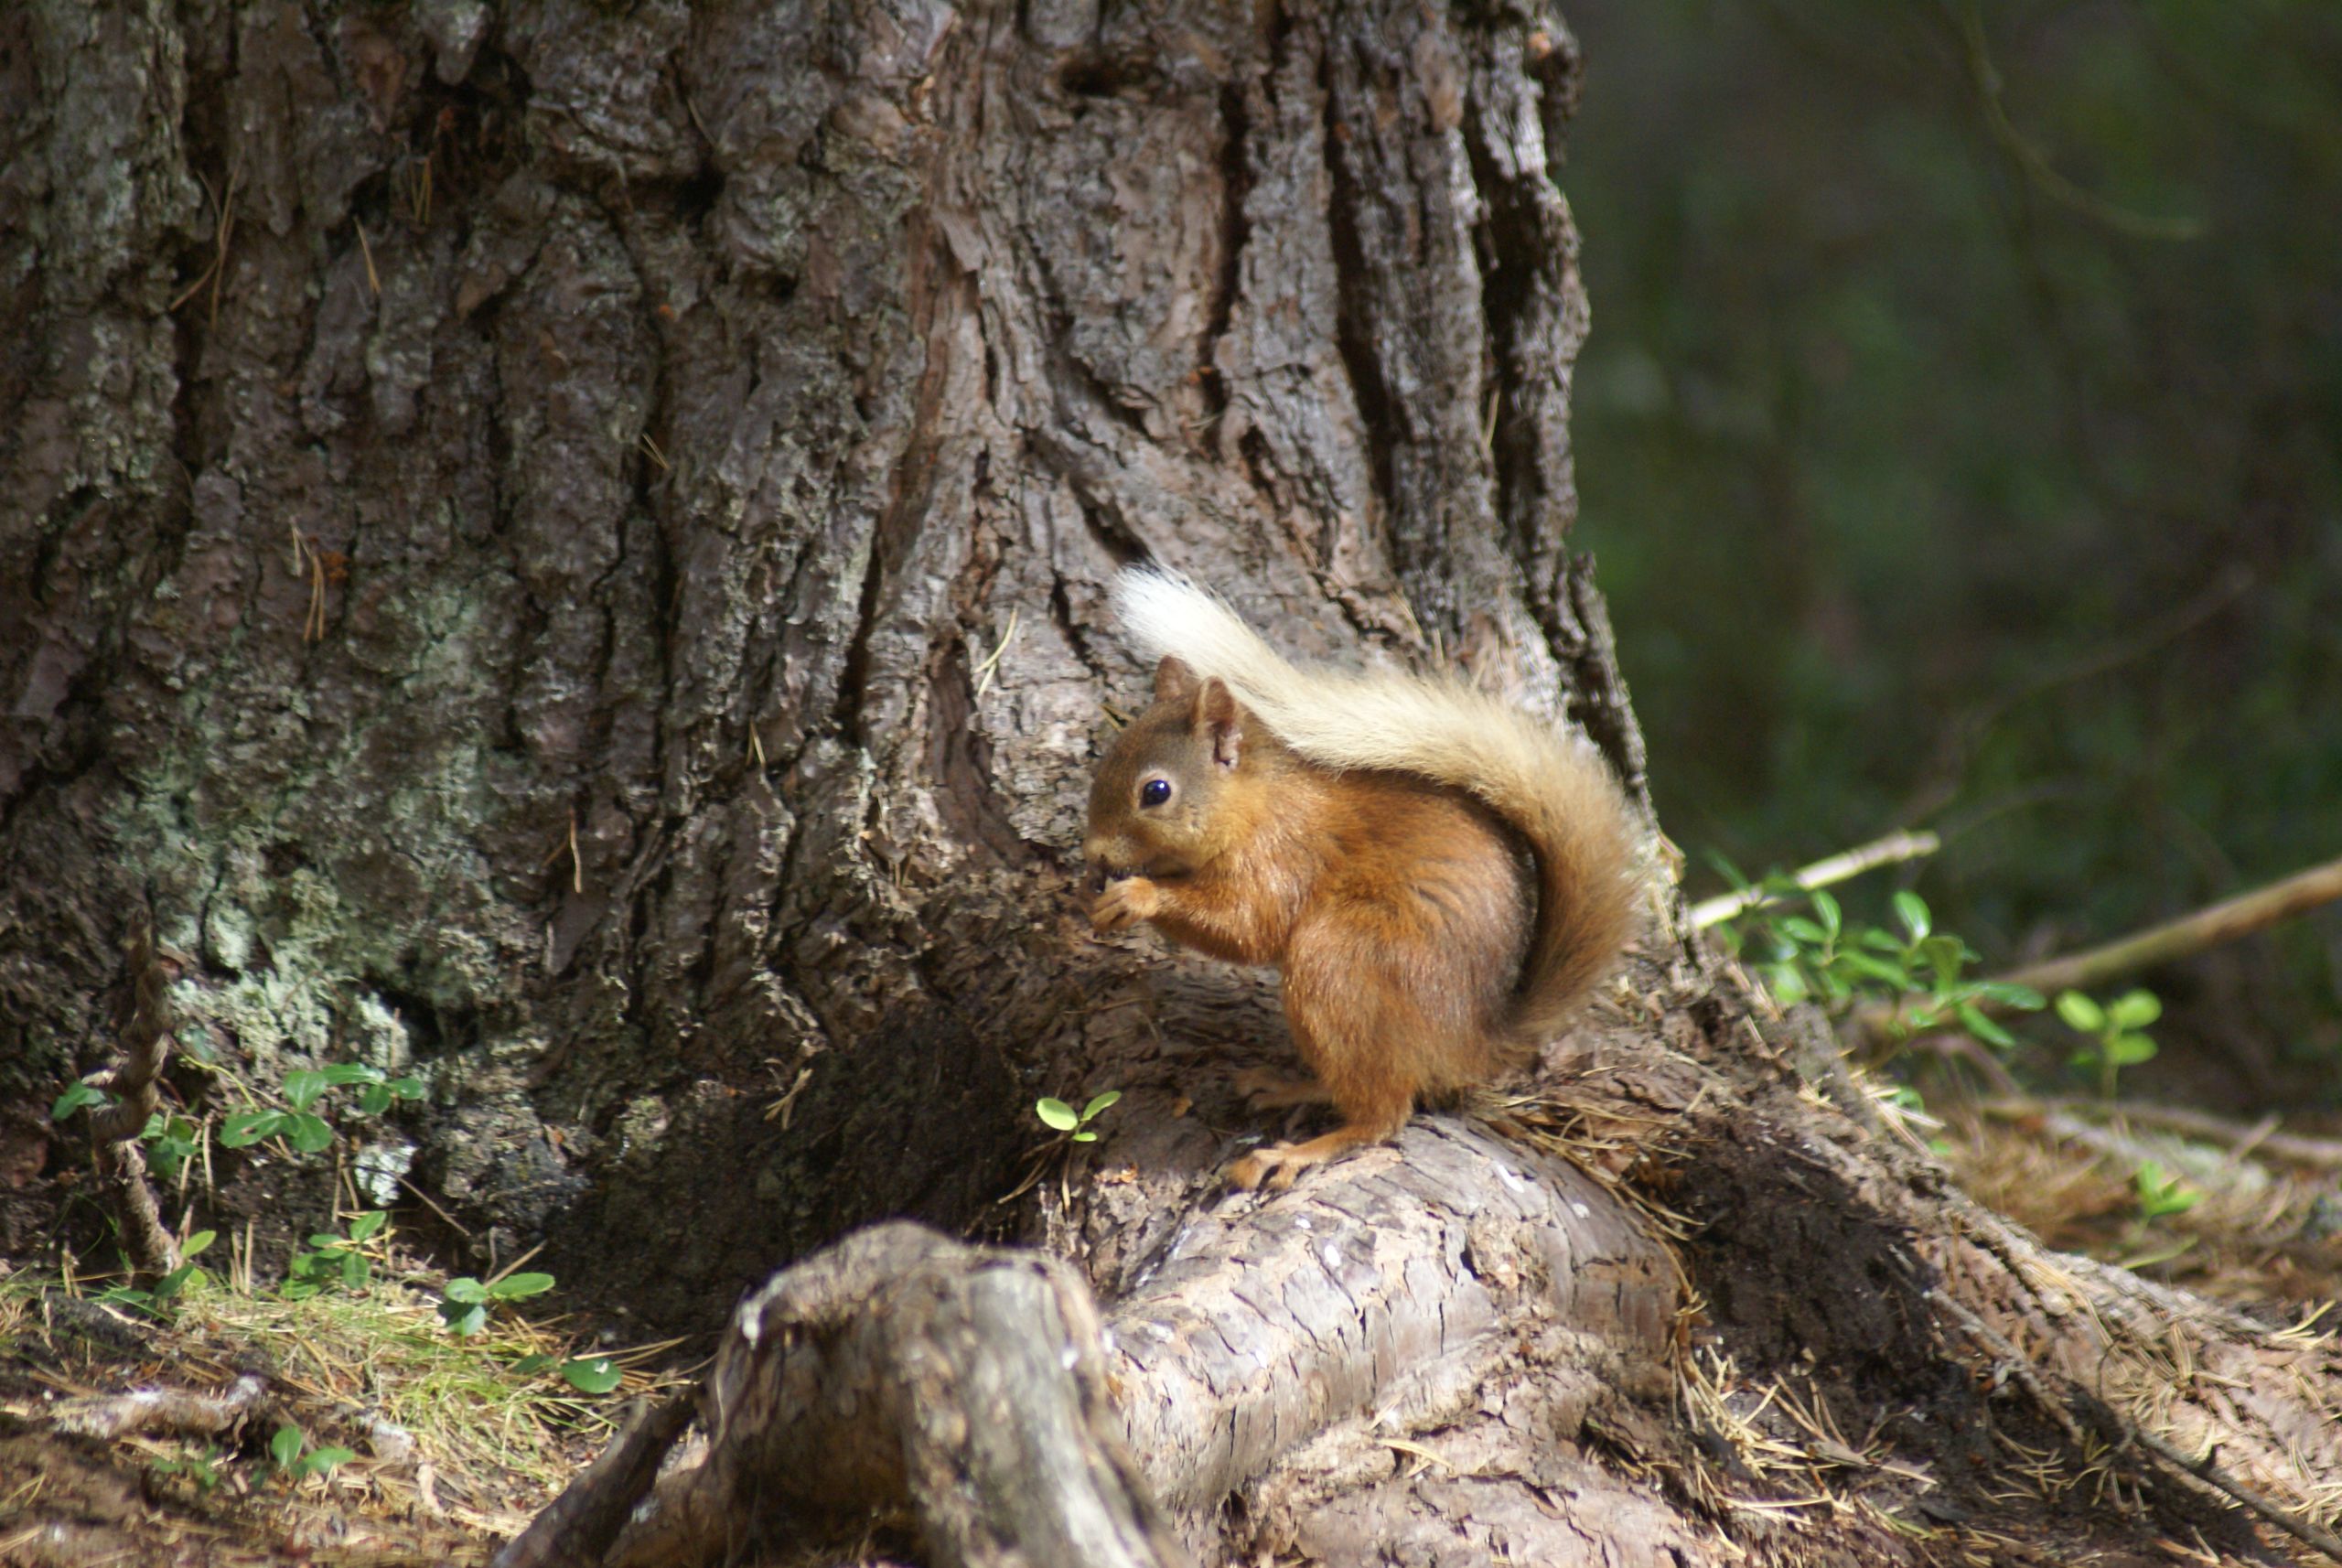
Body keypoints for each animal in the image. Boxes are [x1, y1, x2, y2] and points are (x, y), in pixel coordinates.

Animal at [1083, 568, 1643, 1190]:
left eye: (1155, 792)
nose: (1093, 853)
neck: (1256, 804)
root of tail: (1473, 1042)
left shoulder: (1282, 856)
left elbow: (1247, 926)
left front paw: (1138, 897)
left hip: (1343, 964)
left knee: (1382, 1114)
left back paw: (1294, 1153)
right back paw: (1289, 1086)